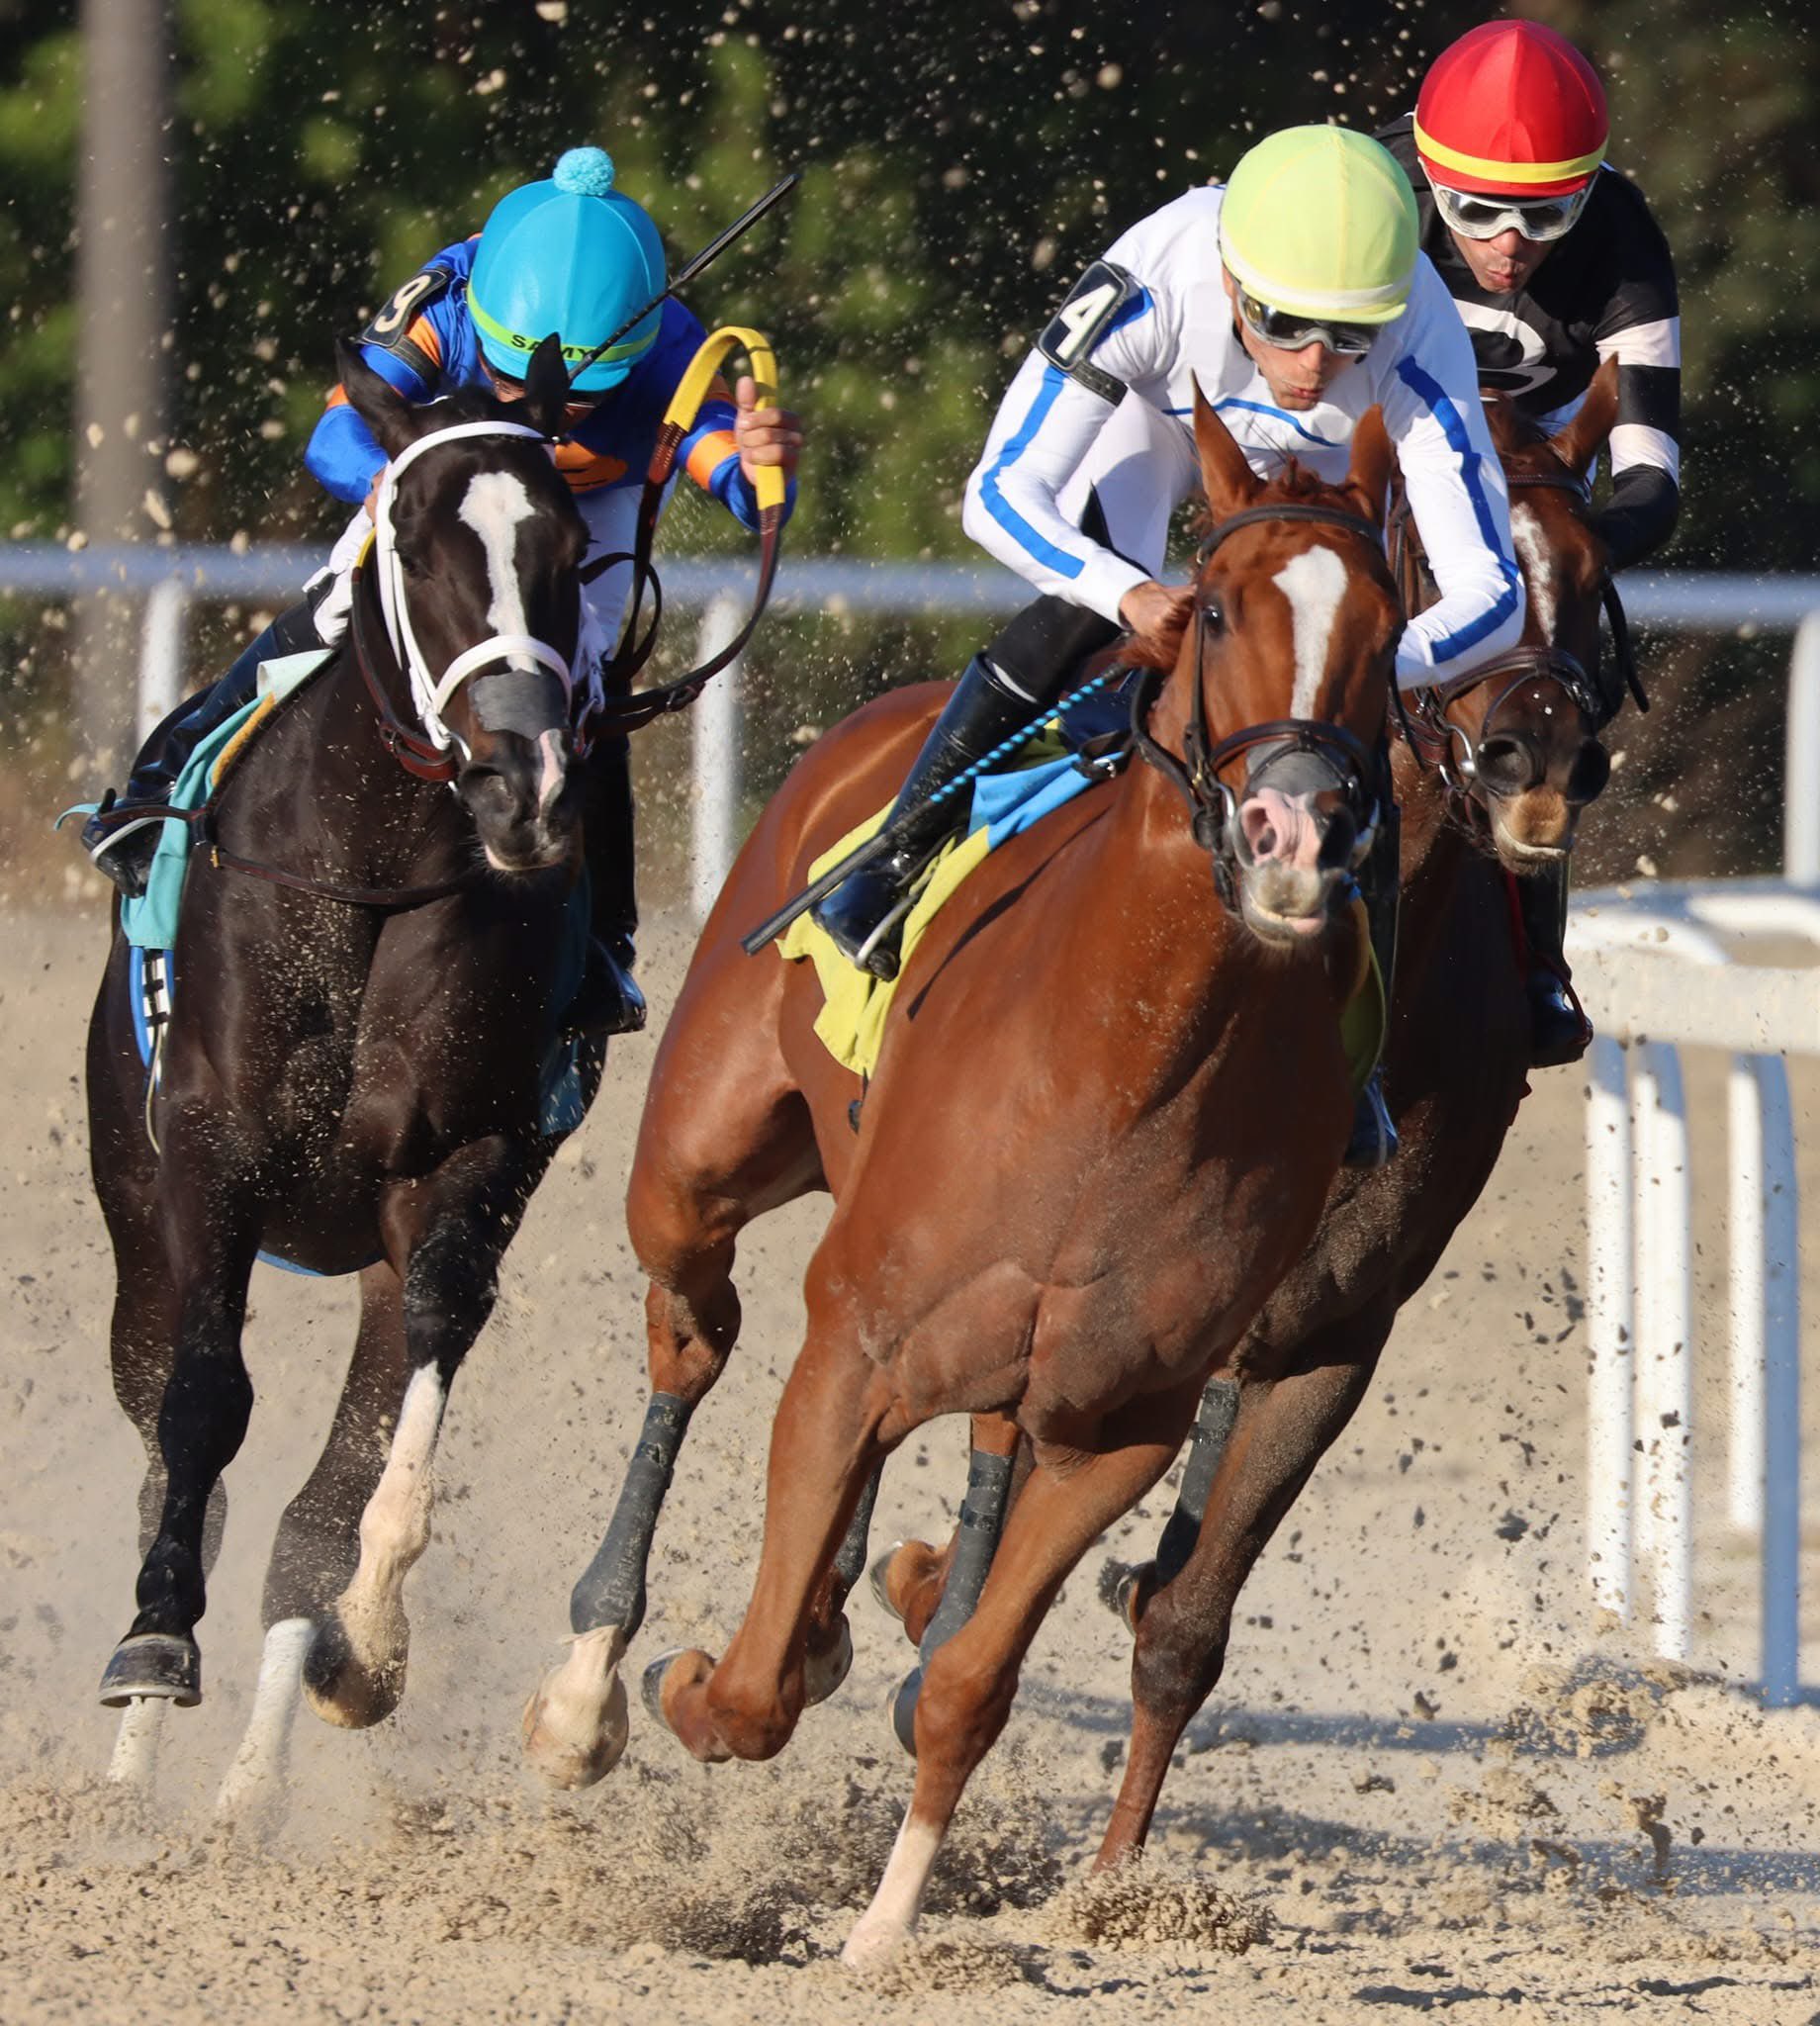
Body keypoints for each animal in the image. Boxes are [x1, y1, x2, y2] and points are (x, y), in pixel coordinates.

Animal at [87, 337, 615, 1813]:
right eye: (417, 543)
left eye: (569, 549)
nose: (524, 784)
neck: (373, 877)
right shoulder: (205, 1153)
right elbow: (202, 1408)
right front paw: (154, 1648)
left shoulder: (463, 1168)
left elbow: (384, 1435)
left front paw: (365, 1641)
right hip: (132, 1211)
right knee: (170, 1446)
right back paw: (132, 1775)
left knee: (310, 1504)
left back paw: (248, 1792)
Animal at [525, 391, 1403, 1963]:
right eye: (1218, 608)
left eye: (1390, 622)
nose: (1296, 840)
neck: (1125, 1057)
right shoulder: (853, 1346)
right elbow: (745, 1688)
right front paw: (686, 1683)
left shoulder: (1114, 1422)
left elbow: (962, 1687)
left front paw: (884, 1926)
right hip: (696, 1159)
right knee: (690, 1336)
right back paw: (588, 1686)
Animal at [873, 360, 1629, 1870]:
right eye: (1440, 564)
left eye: (1588, 576)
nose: (1532, 750)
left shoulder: (1329, 1325)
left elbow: (1186, 1619)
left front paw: (1112, 1883)